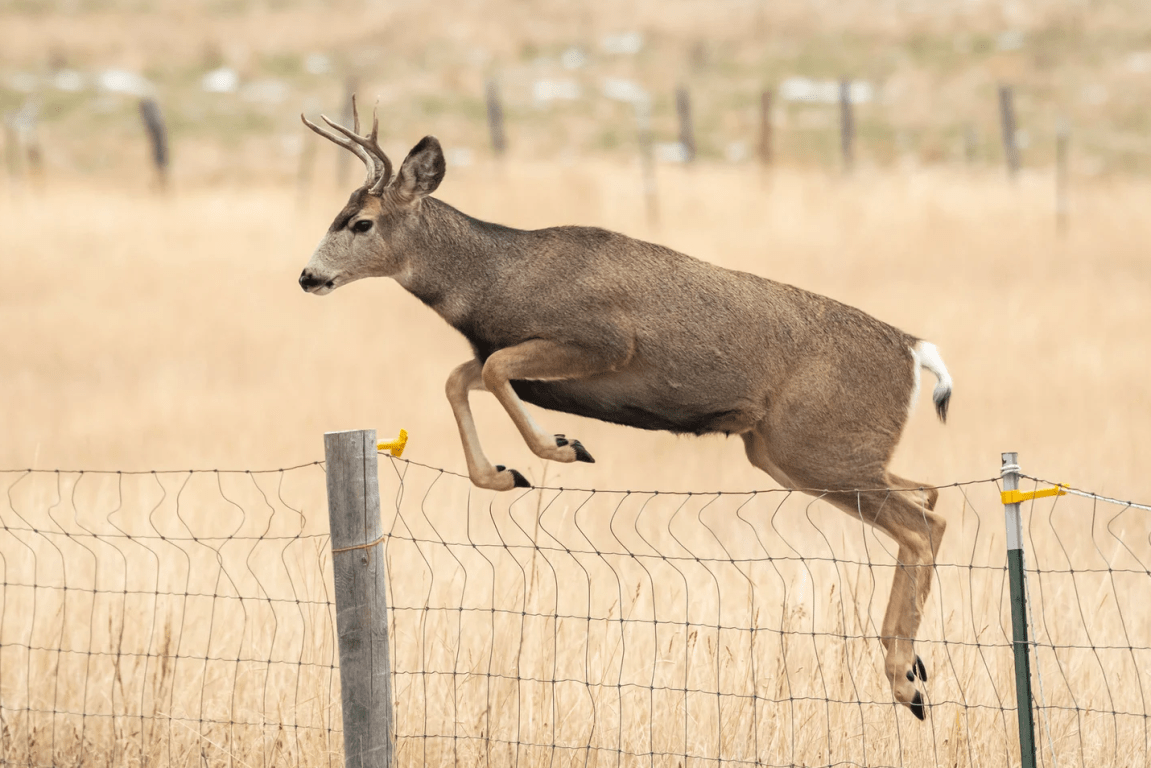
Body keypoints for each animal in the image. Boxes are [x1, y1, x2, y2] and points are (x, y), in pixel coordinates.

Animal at [298, 99, 952, 721]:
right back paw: (909, 671)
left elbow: (490, 370)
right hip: (794, 452)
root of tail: (913, 349)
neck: (494, 279)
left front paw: (562, 449)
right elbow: (462, 377)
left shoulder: (602, 342)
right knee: (928, 496)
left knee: (923, 524)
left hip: (817, 448)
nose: (308, 276)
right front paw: (506, 474)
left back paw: (905, 678)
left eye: (360, 222)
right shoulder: (527, 367)